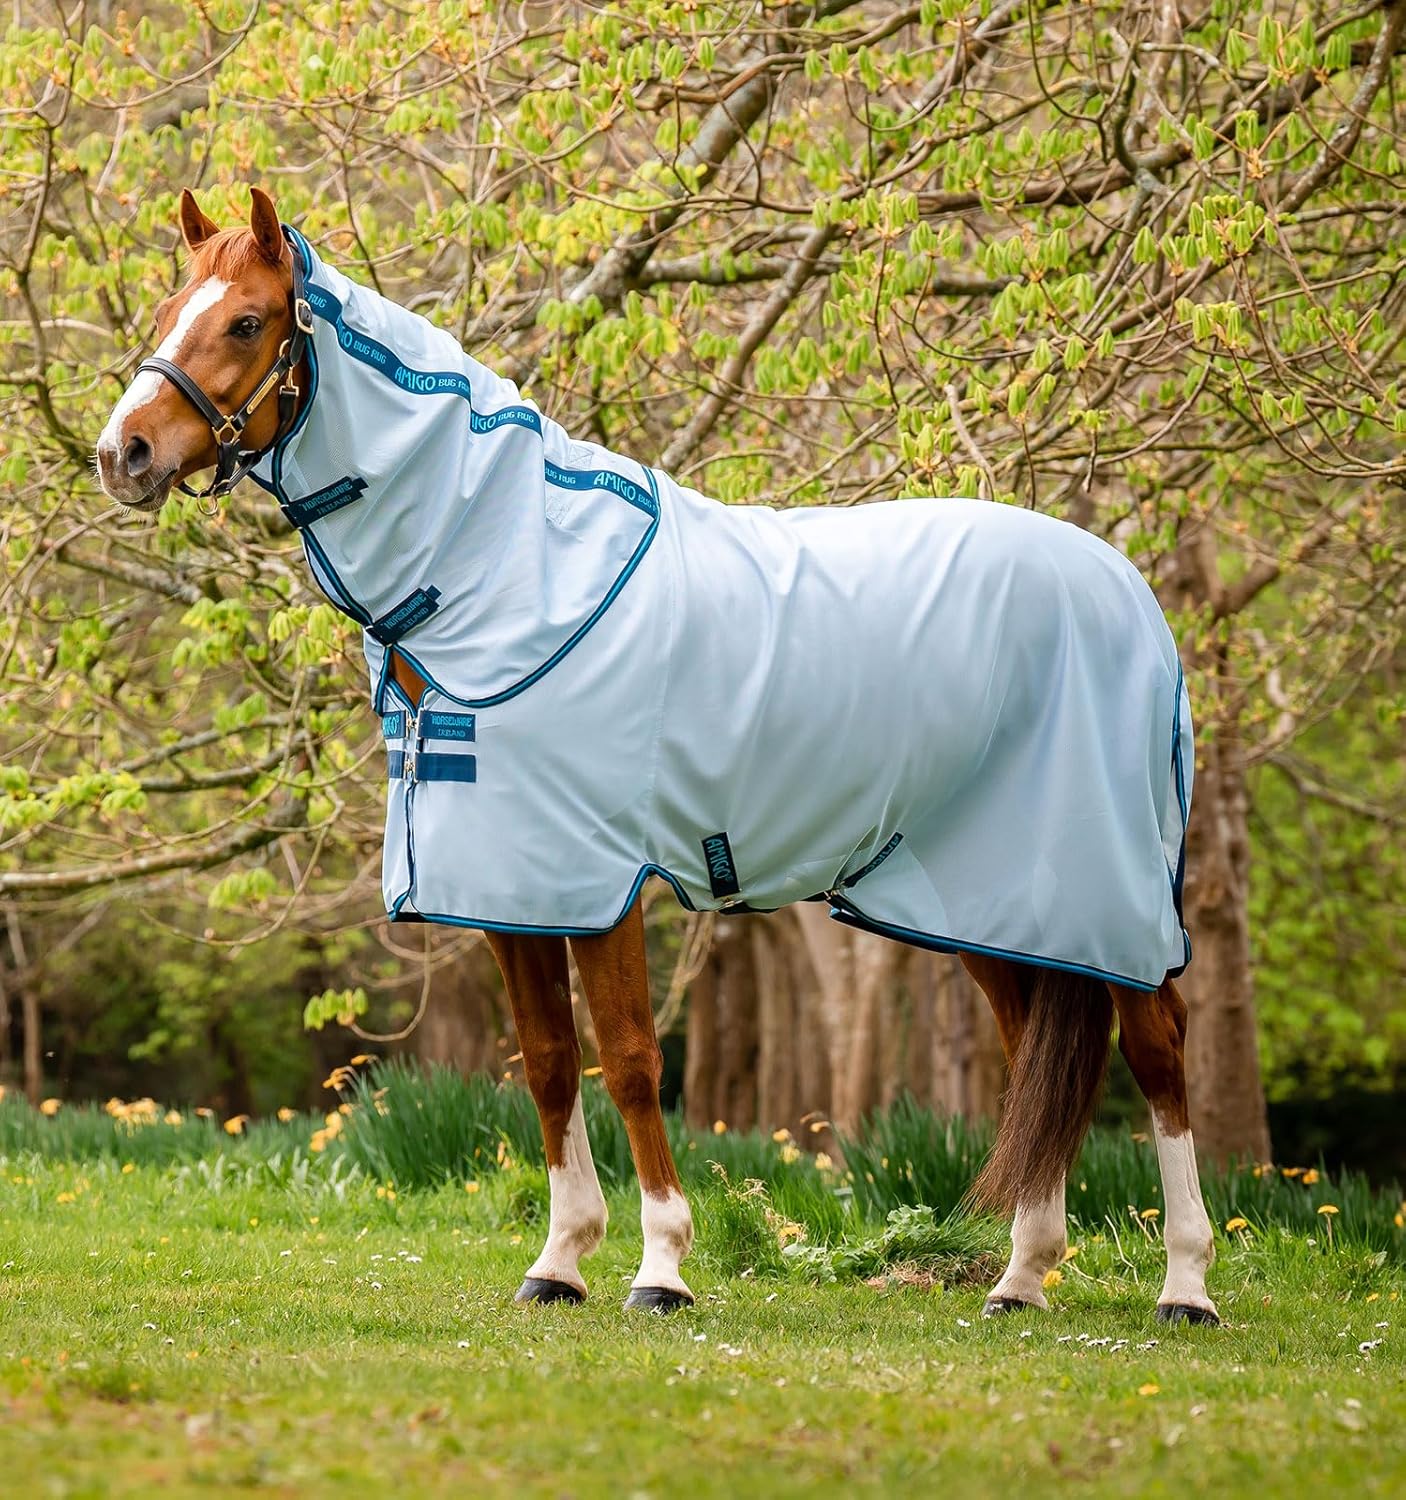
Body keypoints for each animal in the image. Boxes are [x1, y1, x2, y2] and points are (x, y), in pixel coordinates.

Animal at [96, 188, 1219, 1324]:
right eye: (168, 309)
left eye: (246, 322)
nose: (123, 453)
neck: (512, 570)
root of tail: (1125, 589)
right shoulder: (511, 887)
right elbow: (551, 1063)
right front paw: (558, 1262)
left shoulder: (602, 880)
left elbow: (632, 1061)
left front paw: (661, 1268)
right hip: (989, 897)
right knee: (1036, 1050)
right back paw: (1021, 1277)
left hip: (1102, 889)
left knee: (1158, 1046)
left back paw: (1184, 1285)